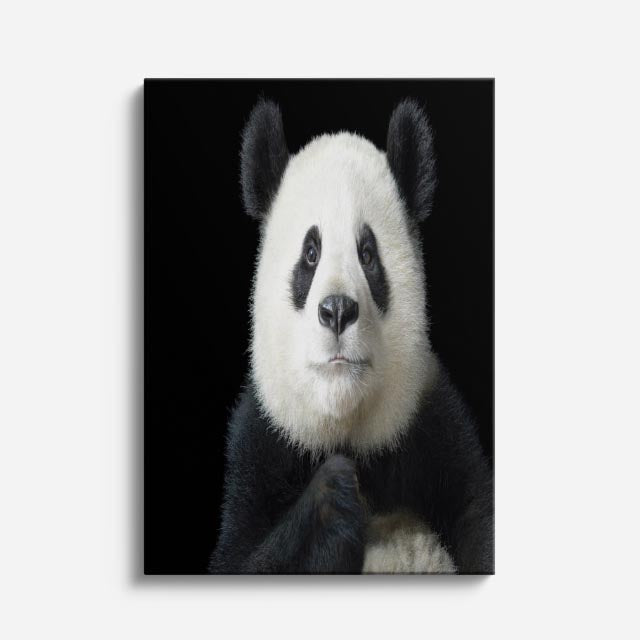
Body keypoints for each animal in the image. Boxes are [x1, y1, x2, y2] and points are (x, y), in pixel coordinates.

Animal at [209, 98, 494, 574]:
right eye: (310, 254)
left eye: (367, 254)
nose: (338, 310)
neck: (348, 429)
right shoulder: (260, 444)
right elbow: (240, 559)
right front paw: (334, 496)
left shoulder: (437, 426)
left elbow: (478, 519)